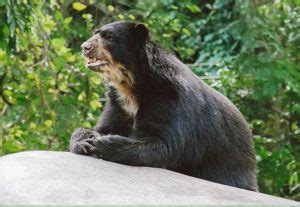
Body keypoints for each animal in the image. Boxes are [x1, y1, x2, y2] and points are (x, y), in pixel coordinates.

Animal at [69, 21, 258, 191]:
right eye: (95, 33)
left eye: (109, 37)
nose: (85, 47)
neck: (131, 87)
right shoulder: (119, 104)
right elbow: (105, 126)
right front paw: (85, 140)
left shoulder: (169, 100)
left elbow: (163, 145)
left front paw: (107, 143)